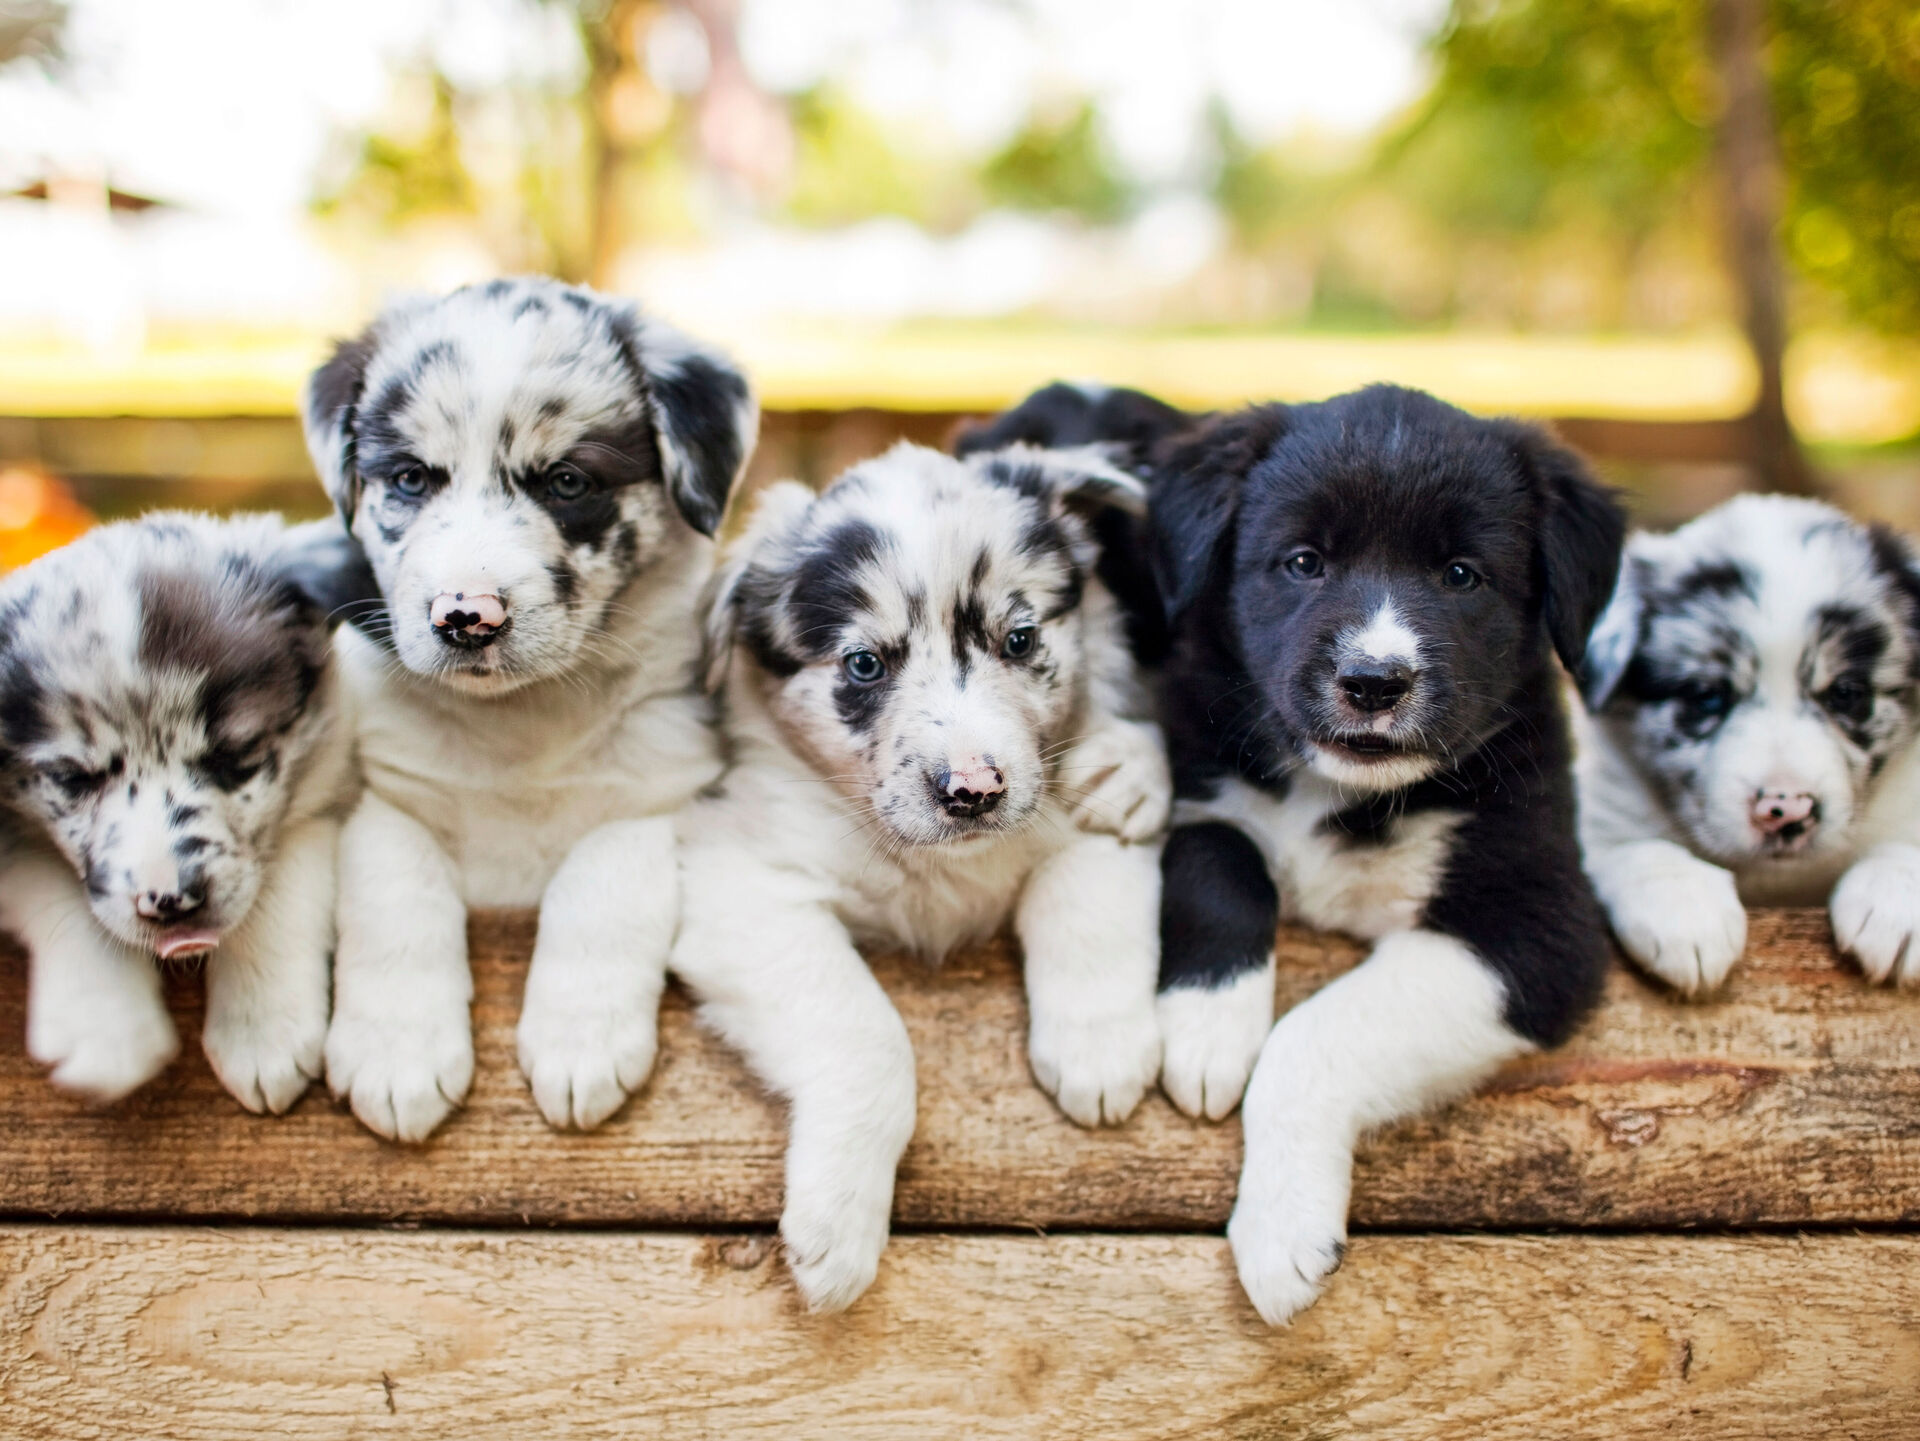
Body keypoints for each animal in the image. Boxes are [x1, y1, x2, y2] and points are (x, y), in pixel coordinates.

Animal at [0, 514, 360, 1112]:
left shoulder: (327, 783)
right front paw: (107, 1028)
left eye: (236, 755)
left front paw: (263, 1030)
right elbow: (55, 889)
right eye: (73, 779)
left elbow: (277, 883)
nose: (171, 902)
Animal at [301, 276, 756, 1143]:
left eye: (568, 482)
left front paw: (581, 1040)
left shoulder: (671, 788)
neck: (523, 721)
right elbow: (396, 887)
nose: (465, 616)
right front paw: (397, 1053)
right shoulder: (381, 793)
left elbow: (601, 875)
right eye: (410, 479)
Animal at [683, 445, 1175, 1312]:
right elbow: (866, 1031)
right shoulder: (740, 880)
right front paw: (839, 1224)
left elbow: (1086, 896)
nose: (974, 790)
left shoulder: (1098, 809)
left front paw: (1099, 1048)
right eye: (864, 664)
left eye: (1020, 639)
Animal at [967, 377, 1628, 1327]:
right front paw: (1207, 1029)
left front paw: (1281, 1230)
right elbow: (1220, 862)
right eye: (1304, 562)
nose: (1374, 681)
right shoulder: (1211, 783)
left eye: (1461, 575)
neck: (1341, 793)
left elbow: (1317, 1032)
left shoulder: (1537, 926)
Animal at [1574, 495, 1920, 990]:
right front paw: (1683, 908)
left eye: (1847, 693)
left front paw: (1897, 899)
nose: (1787, 811)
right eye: (1706, 695)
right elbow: (1630, 848)